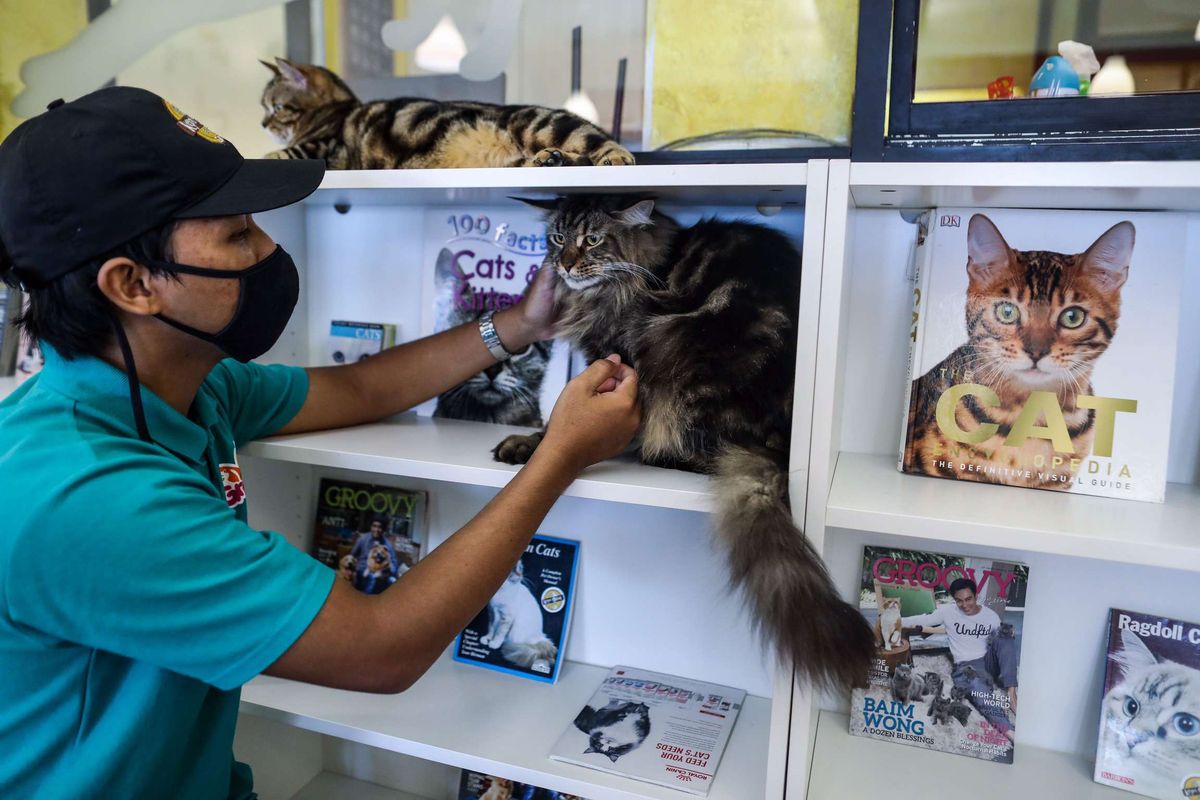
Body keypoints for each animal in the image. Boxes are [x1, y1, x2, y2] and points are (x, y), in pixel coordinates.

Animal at [260, 57, 638, 169]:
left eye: (275, 107)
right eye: (265, 108)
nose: (262, 123)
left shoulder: (324, 148)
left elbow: (283, 153)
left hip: (542, 124)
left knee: (607, 149)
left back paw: (612, 158)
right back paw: (551, 160)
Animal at [492, 195, 878, 695]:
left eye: (593, 239)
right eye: (557, 237)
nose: (565, 264)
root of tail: (778, 438)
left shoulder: (616, 358)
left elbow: (559, 427)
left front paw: (532, 442)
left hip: (668, 343)